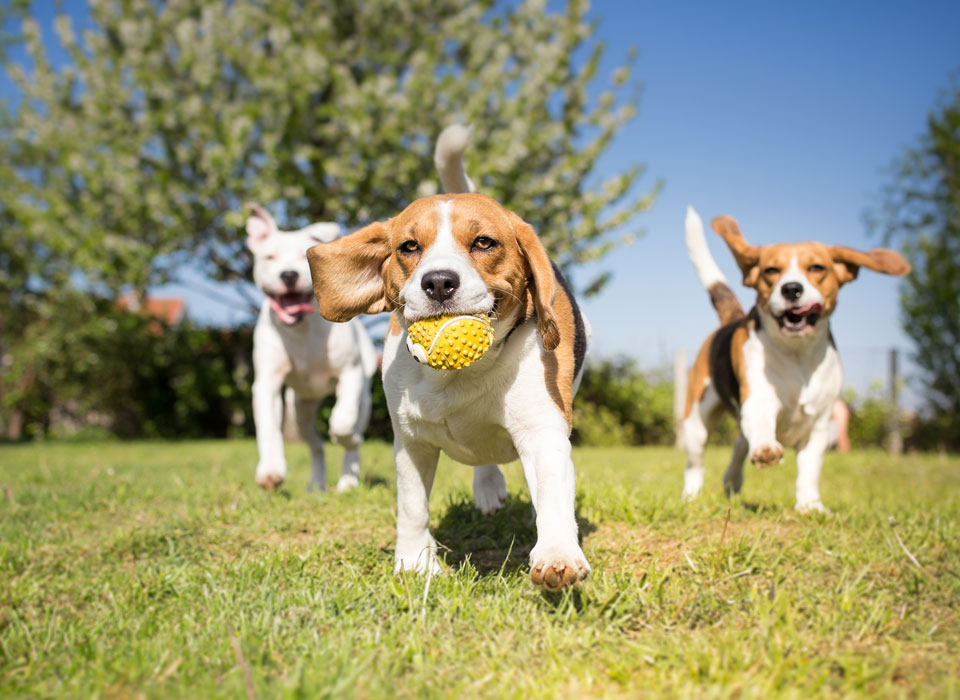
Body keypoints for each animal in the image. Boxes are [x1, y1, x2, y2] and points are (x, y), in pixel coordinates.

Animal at [246, 205, 376, 492]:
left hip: (363, 398)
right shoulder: (267, 383)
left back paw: (348, 480)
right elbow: (268, 428)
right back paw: (316, 483)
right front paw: (271, 471)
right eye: (269, 256)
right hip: (300, 411)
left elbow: (342, 422)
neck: (301, 328)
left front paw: (347, 437)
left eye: (303, 257)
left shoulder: (350, 374)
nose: (289, 274)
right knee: (316, 445)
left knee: (351, 435)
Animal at [308, 129, 592, 588]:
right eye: (408, 247)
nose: (439, 282)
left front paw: (557, 554)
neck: (459, 376)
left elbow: (552, 496)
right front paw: (414, 563)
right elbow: (412, 507)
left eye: (484, 242)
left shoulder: (542, 430)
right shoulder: (411, 442)